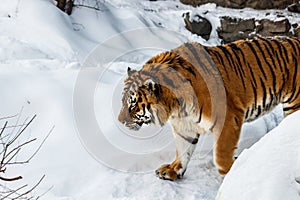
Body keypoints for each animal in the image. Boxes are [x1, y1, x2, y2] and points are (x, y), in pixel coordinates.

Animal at [117, 36, 300, 181]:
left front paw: (232, 175)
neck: (176, 106)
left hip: (294, 103)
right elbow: (183, 150)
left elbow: (221, 156)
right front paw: (173, 170)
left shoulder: (228, 119)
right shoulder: (184, 126)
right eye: (123, 101)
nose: (119, 121)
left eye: (133, 105)